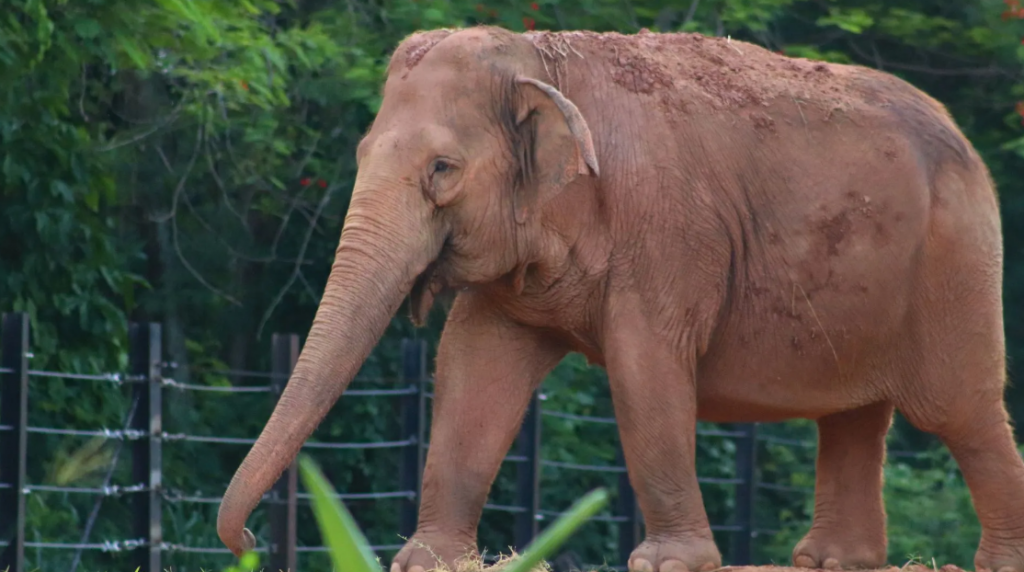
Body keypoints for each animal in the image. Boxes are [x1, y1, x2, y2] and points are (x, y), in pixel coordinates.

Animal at [218, 24, 1024, 572]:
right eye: (360, 157)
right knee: (852, 415)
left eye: (442, 169)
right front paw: (427, 561)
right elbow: (471, 369)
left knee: (961, 412)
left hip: (956, 264)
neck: (540, 60)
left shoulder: (664, 227)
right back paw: (829, 560)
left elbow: (646, 368)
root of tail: (961, 133)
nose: (249, 538)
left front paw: (667, 563)